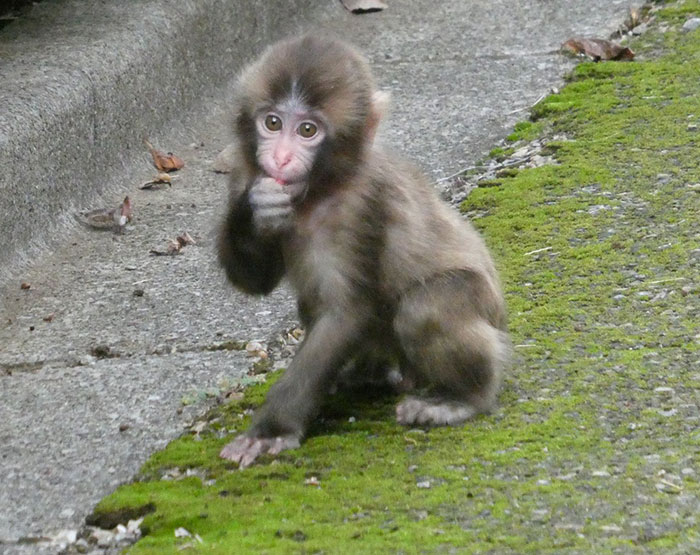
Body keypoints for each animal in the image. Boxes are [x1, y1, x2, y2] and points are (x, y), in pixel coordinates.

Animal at [217, 34, 510, 468]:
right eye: (272, 123)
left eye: (308, 130)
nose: (282, 158)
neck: (317, 191)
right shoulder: (244, 170)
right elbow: (256, 281)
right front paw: (257, 207)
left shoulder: (359, 206)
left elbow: (346, 312)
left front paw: (271, 430)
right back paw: (365, 373)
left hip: (480, 301)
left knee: (425, 309)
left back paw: (463, 398)